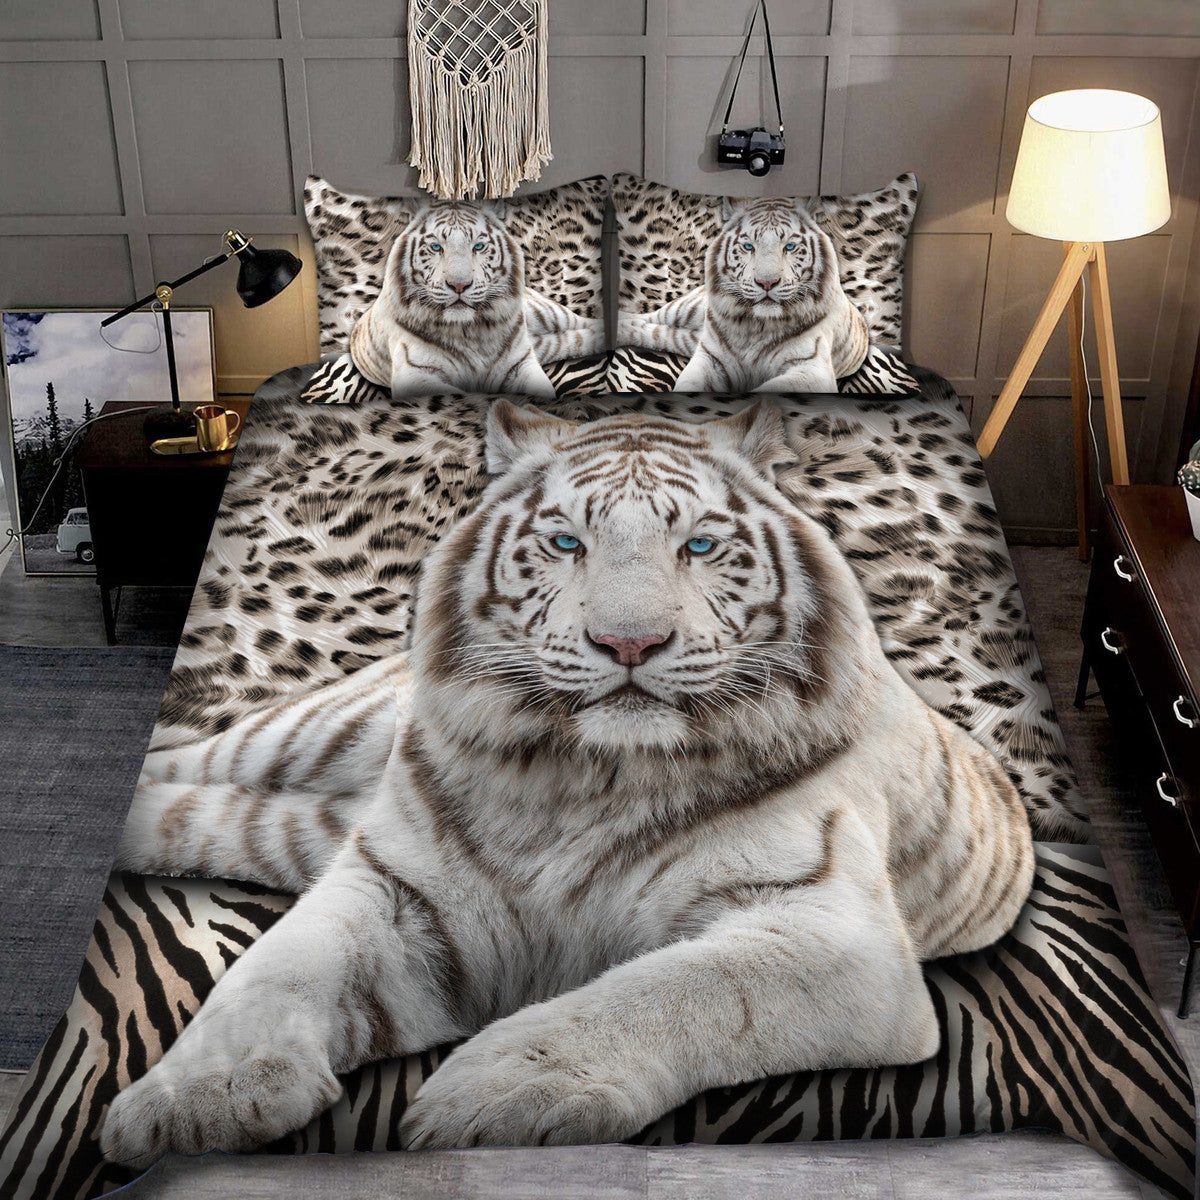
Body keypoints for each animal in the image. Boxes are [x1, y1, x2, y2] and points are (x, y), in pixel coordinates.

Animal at [100, 400, 1034, 1168]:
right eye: (565, 543)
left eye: (699, 545)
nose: (630, 643)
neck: (584, 776)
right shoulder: (396, 887)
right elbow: (276, 966)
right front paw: (193, 1097)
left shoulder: (837, 934)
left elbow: (670, 989)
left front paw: (491, 1091)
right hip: (312, 733)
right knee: (190, 762)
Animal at [350, 200, 605, 399]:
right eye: (436, 247)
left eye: (479, 246)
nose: (459, 285)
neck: (471, 331)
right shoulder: (415, 374)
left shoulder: (520, 363)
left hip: (546, 313)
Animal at [619, 197, 870, 393]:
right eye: (748, 247)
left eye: (789, 247)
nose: (767, 282)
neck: (756, 325)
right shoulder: (710, 357)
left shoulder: (812, 369)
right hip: (686, 310)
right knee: (647, 318)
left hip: (686, 338)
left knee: (655, 333)